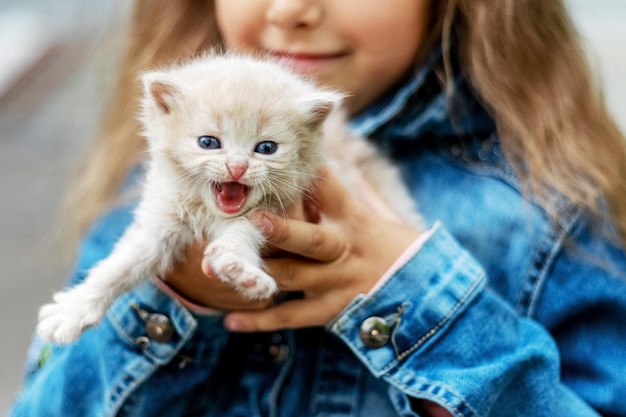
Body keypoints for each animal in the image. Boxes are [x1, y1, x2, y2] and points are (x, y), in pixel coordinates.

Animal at [36, 53, 422, 342]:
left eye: (266, 148)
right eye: (209, 142)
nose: (236, 167)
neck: (207, 211)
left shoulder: (268, 214)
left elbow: (239, 237)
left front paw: (241, 271)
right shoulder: (161, 218)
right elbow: (121, 265)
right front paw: (73, 309)